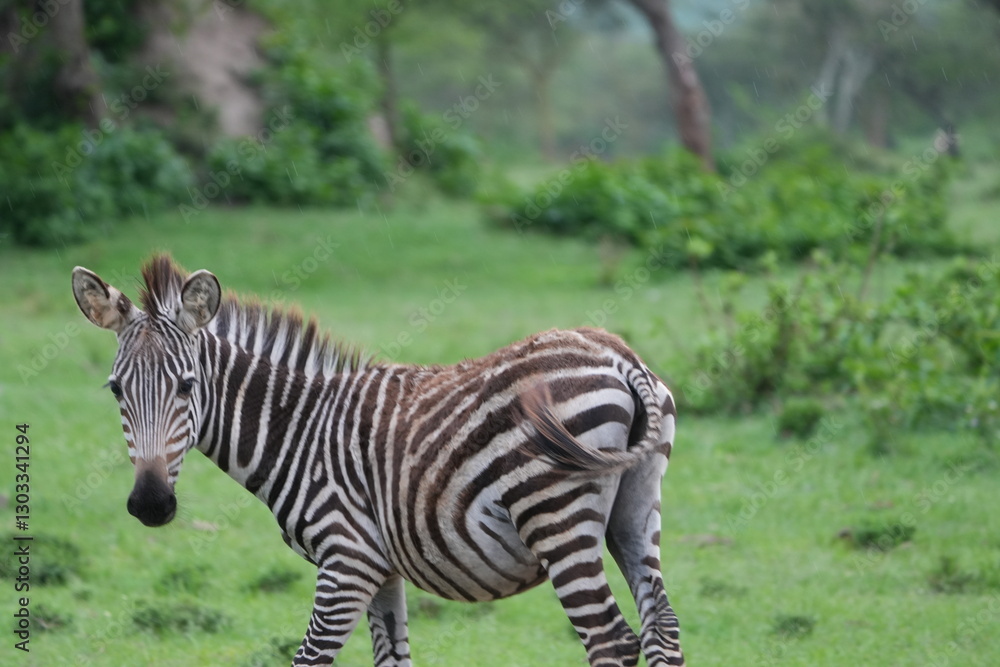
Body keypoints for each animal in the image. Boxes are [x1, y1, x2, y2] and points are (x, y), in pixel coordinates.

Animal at [71, 254, 685, 666]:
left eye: (187, 386)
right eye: (115, 390)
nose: (151, 504)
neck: (299, 427)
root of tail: (619, 356)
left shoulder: (347, 560)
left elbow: (309, 658)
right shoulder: (382, 568)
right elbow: (392, 659)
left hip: (554, 515)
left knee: (611, 638)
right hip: (636, 510)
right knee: (663, 628)